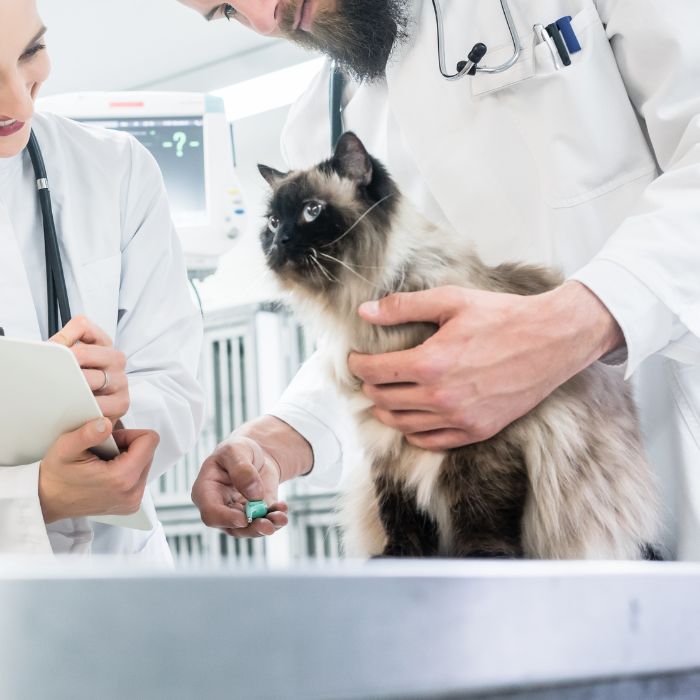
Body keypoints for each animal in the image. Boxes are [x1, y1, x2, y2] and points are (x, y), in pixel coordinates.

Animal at [258, 130, 660, 556]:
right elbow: (401, 519)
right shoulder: (387, 448)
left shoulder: (484, 448)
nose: (279, 241)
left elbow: (481, 518)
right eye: (273, 221)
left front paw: (478, 560)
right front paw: (396, 560)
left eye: (312, 211)